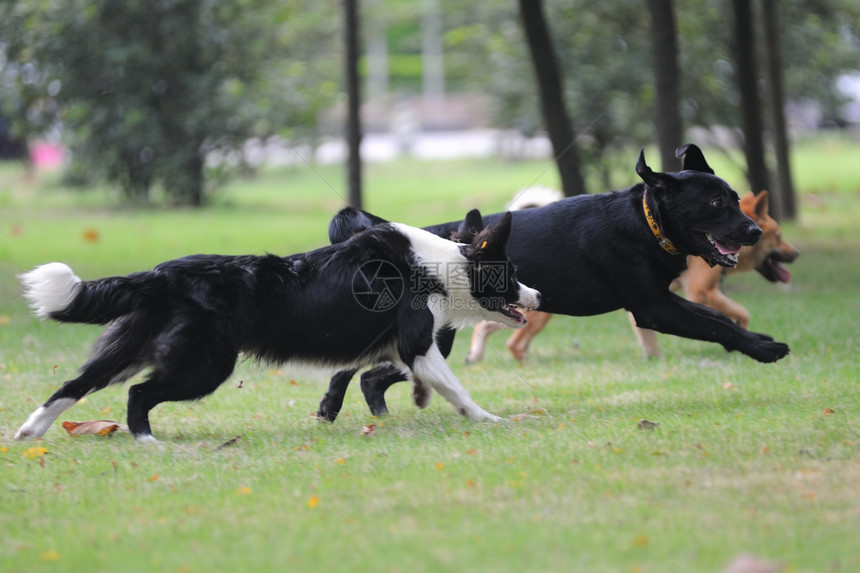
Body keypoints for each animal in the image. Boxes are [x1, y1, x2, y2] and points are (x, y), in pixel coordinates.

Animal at [15, 210, 536, 438]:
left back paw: (30, 432)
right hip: (204, 364)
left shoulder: (397, 348)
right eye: (511, 275)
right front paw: (488, 419)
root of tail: (162, 274)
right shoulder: (416, 344)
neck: (443, 265)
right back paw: (147, 441)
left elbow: (372, 374)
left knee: (76, 384)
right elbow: (456, 387)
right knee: (139, 393)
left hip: (131, 349)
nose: (538, 296)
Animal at [466, 191, 796, 362]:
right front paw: (757, 346)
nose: (796, 253)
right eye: (778, 236)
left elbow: (720, 318)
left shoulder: (659, 299)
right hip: (539, 310)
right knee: (510, 338)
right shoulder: (684, 297)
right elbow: (733, 316)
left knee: (490, 326)